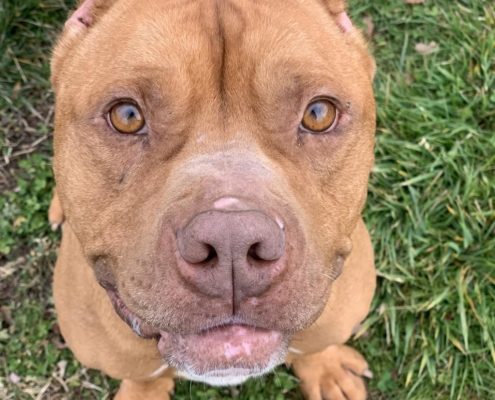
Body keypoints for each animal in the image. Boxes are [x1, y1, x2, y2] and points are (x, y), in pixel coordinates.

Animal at [49, 1, 376, 398]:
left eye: (318, 114)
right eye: (126, 116)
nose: (231, 240)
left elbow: (315, 346)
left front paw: (325, 368)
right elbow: (143, 376)